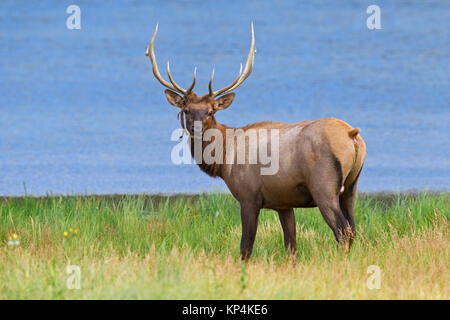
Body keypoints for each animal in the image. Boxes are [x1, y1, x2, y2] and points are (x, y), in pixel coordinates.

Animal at [146, 24, 368, 260]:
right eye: (186, 110)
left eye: (211, 111)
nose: (196, 129)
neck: (224, 160)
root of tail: (352, 134)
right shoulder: (283, 202)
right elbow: (291, 247)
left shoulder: (248, 197)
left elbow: (246, 247)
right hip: (351, 186)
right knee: (353, 228)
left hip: (324, 187)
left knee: (342, 230)